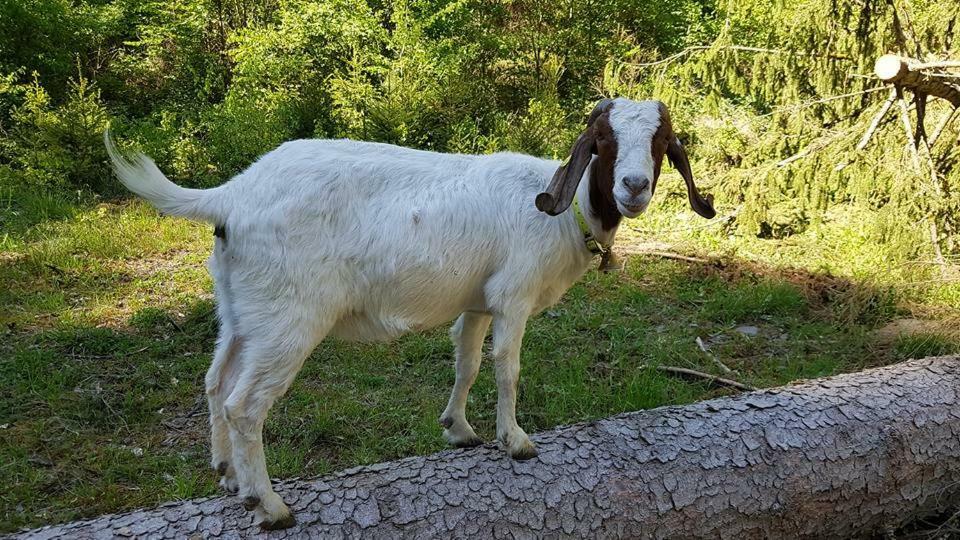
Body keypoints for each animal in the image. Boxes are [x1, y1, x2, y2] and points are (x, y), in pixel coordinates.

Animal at [105, 96, 712, 528]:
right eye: (604, 140)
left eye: (660, 142)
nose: (634, 186)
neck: (565, 214)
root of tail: (231, 195)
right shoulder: (512, 296)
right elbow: (508, 370)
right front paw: (515, 442)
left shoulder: (477, 302)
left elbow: (467, 363)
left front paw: (459, 430)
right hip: (286, 320)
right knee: (244, 404)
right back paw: (269, 506)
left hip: (240, 310)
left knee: (214, 380)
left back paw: (228, 476)